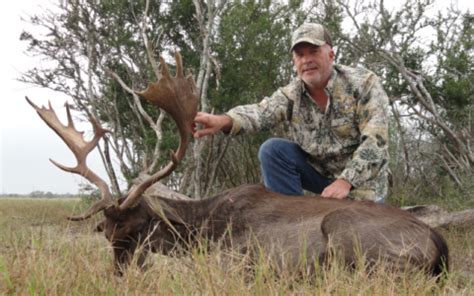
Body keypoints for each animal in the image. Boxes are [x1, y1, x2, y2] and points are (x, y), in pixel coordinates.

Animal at [26, 52, 448, 276]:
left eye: (138, 228)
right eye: (107, 232)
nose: (117, 276)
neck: (199, 227)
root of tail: (438, 245)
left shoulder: (232, 256)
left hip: (348, 237)